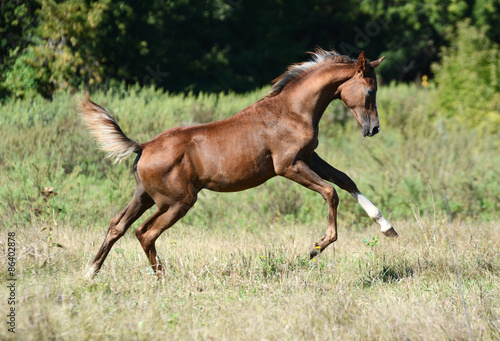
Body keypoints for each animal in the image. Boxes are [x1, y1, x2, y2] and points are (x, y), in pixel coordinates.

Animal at [79, 47, 398, 278]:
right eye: (371, 91)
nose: (373, 129)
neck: (292, 110)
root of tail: (142, 147)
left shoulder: (309, 156)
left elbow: (345, 179)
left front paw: (386, 226)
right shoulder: (288, 165)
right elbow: (331, 192)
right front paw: (317, 246)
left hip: (144, 196)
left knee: (118, 226)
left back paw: (90, 273)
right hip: (176, 202)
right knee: (145, 233)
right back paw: (161, 278)